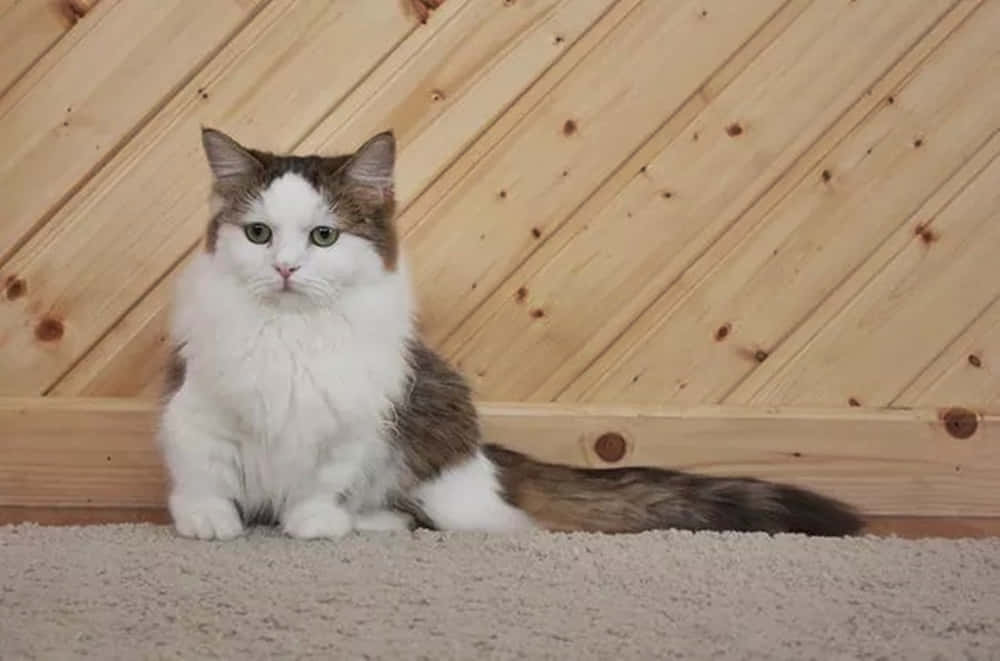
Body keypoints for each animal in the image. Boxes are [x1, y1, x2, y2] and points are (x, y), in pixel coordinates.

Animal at [158, 126, 868, 540]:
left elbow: (321, 482)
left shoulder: (355, 417)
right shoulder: (198, 408)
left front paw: (313, 523)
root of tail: (484, 456)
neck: (293, 332)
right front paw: (209, 521)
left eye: (324, 237)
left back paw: (376, 521)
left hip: (432, 406)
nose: (284, 267)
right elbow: (206, 474)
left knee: (453, 512)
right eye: (258, 234)